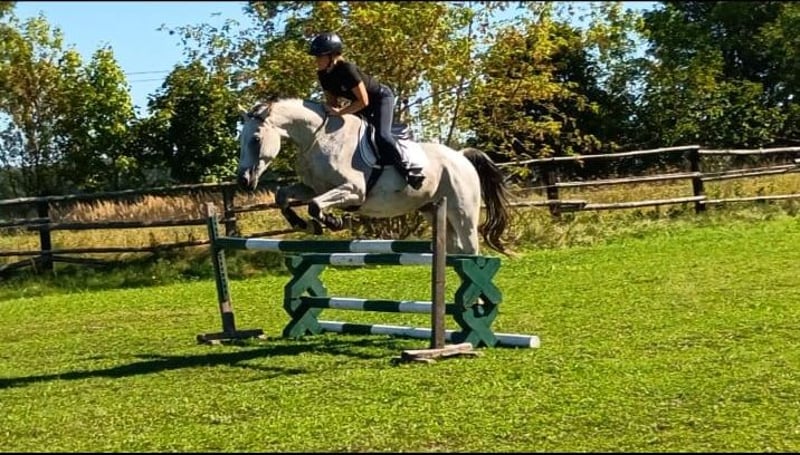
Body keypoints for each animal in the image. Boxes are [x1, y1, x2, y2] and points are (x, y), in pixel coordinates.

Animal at [236, 98, 512, 255]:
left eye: (256, 139)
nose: (244, 181)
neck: (318, 138)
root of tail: (461, 156)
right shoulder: (313, 187)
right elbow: (284, 196)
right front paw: (302, 223)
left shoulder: (353, 190)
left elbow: (315, 205)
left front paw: (332, 221)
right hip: (434, 211)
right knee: (455, 249)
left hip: (463, 211)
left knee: (471, 249)